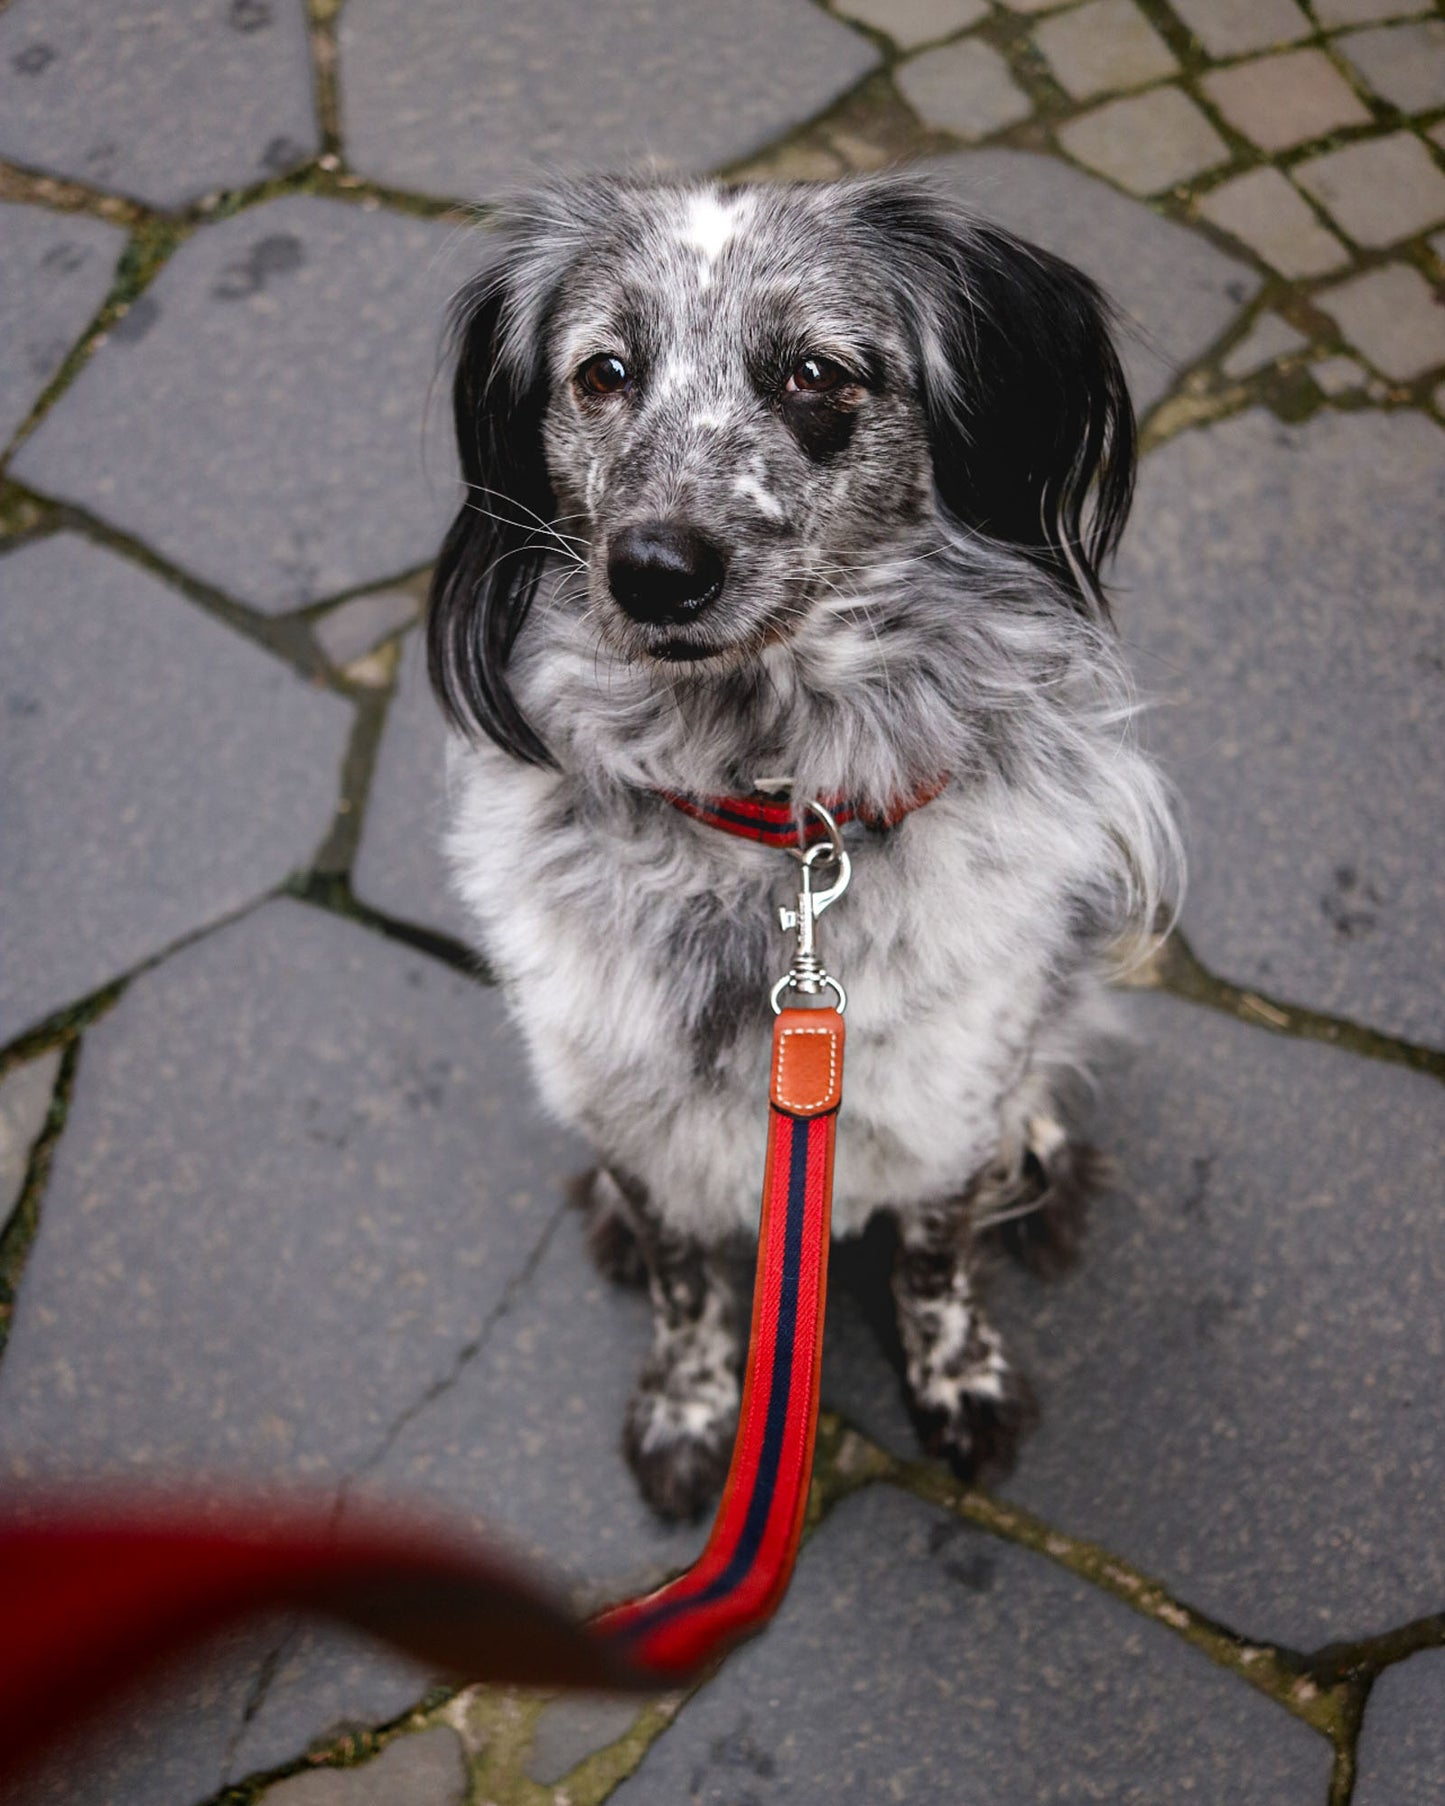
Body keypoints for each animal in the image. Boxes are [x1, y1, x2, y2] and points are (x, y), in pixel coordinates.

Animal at [422, 172, 1177, 1524]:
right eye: (603, 372)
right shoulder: (633, 1117)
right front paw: (687, 1411)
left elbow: (934, 1266)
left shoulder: (943, 1106)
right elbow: (682, 1284)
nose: (653, 568)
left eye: (816, 373)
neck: (765, 812)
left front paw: (959, 1383)